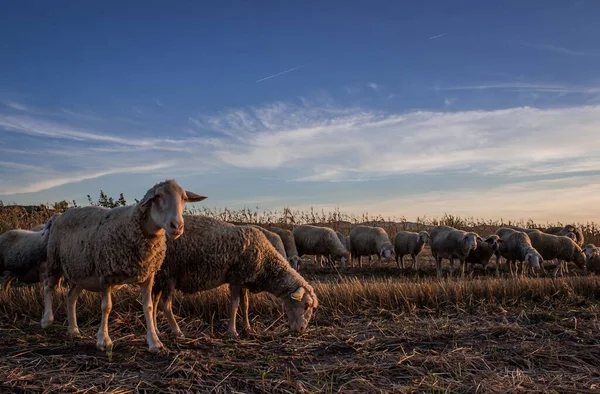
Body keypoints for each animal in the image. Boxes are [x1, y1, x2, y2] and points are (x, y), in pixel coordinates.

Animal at [42, 180, 206, 352]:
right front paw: (103, 340)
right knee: (48, 286)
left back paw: (73, 330)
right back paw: (47, 320)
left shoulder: (148, 275)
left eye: (184, 198)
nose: (177, 226)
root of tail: (58, 215)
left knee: (71, 297)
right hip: (54, 261)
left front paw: (154, 342)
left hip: (81, 272)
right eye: (158, 196)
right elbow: (106, 307)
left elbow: (148, 307)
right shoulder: (106, 274)